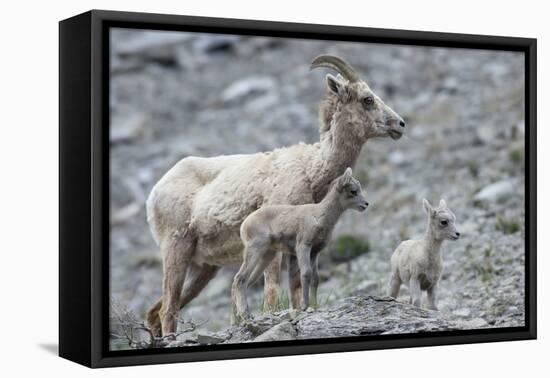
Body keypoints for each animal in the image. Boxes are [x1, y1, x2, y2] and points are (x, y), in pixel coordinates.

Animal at [234, 167, 370, 320]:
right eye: (353, 191)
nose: (366, 204)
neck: (319, 217)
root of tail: (244, 225)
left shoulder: (315, 252)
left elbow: (315, 278)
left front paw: (314, 306)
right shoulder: (303, 247)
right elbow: (306, 273)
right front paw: (305, 306)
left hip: (267, 256)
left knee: (247, 281)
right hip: (255, 250)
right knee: (240, 278)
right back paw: (245, 315)